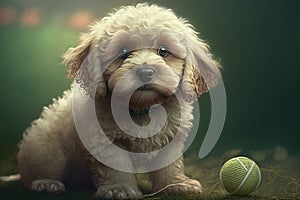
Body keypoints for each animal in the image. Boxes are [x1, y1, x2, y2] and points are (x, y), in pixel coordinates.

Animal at [17, 2, 221, 198]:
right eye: (123, 52)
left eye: (164, 51)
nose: (146, 72)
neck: (142, 108)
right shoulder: (105, 140)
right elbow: (115, 167)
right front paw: (119, 188)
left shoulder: (170, 137)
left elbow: (169, 165)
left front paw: (176, 184)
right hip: (45, 146)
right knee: (42, 168)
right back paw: (46, 183)